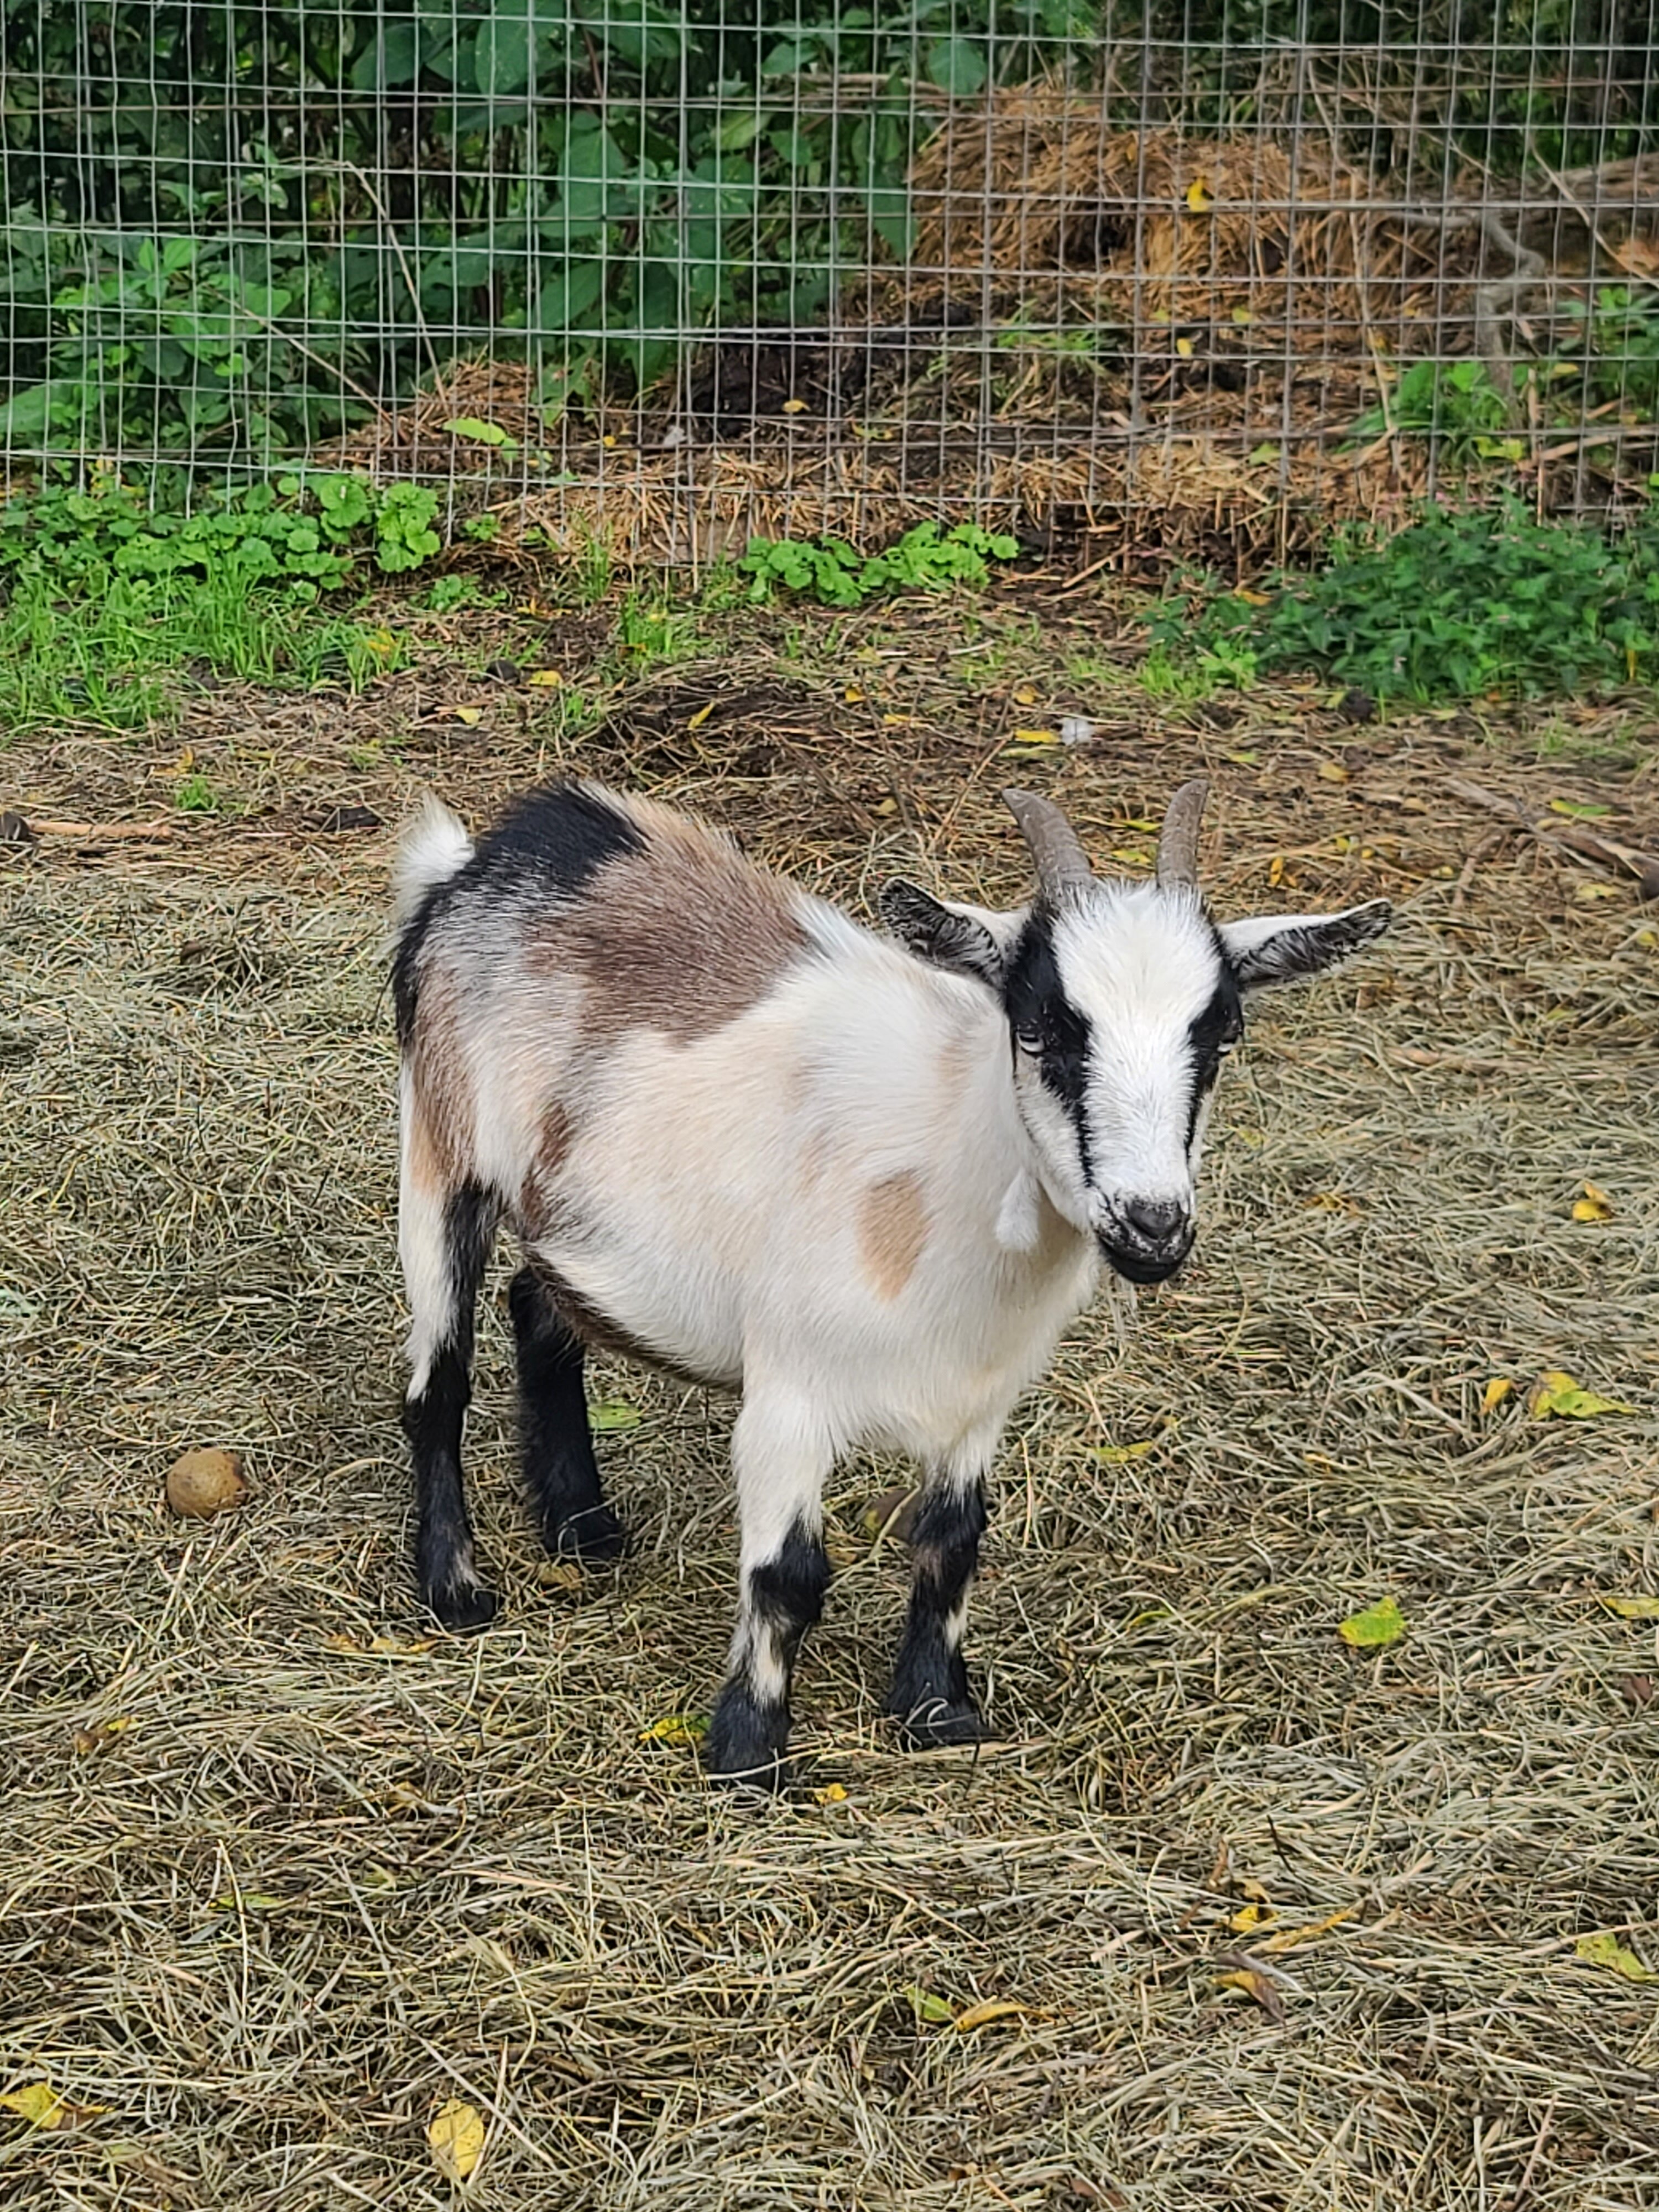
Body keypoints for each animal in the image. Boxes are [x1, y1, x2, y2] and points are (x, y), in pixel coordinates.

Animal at [391, 776, 1390, 1786]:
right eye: (1040, 1028)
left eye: (1220, 1036)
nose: (1152, 1225)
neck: (940, 1164)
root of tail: (501, 852)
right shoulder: (787, 1395)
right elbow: (789, 1576)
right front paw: (749, 1752)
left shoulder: (981, 1396)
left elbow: (953, 1541)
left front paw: (937, 1707)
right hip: (439, 1156)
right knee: (439, 1383)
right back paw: (457, 1587)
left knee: (537, 1307)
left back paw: (582, 1527)